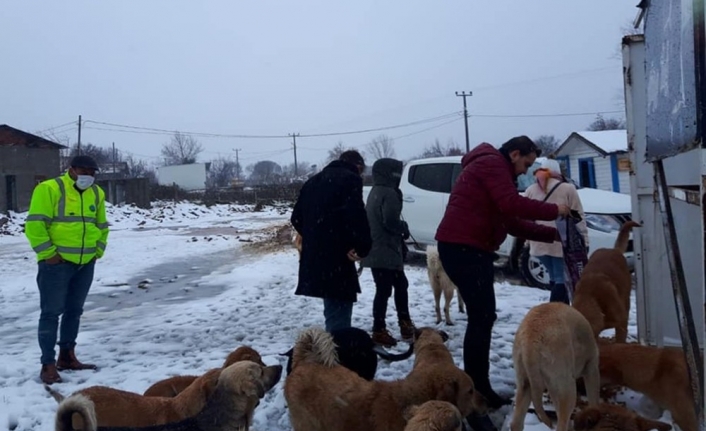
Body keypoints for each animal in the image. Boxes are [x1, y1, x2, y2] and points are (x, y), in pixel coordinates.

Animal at [506, 302, 600, 431]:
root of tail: (531, 343)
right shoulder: (592, 366)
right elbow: (593, 397)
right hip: (566, 382)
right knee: (562, 422)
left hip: (525, 379)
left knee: (516, 422)